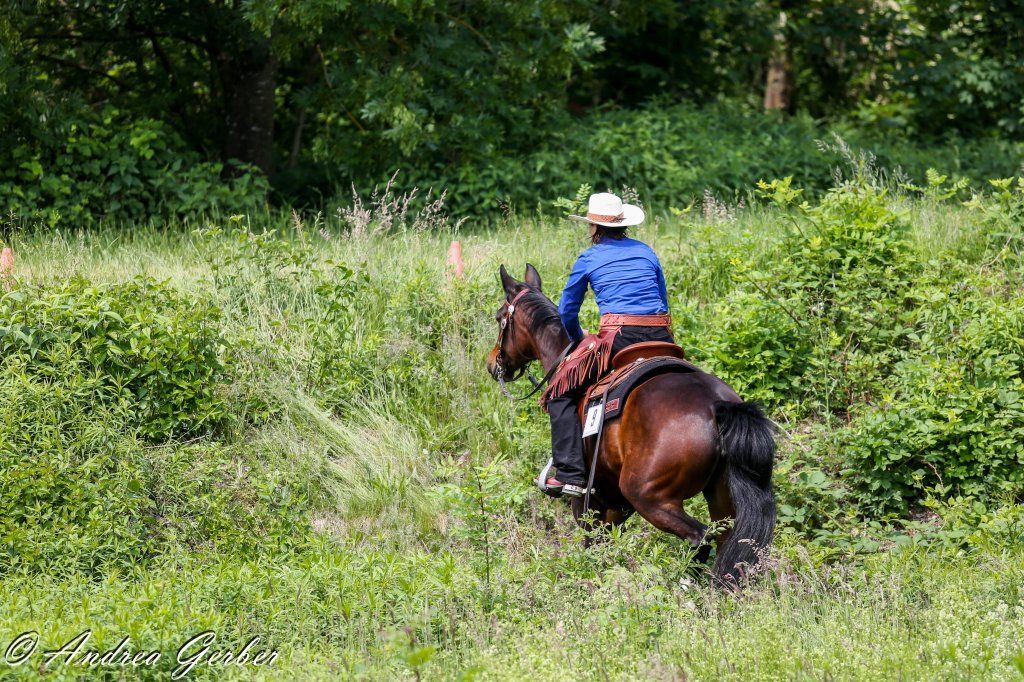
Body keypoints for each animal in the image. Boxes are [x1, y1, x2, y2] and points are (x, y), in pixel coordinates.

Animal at [485, 264, 777, 585]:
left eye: (500, 318)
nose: (492, 363)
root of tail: (715, 405)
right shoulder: (615, 504)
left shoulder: (589, 501)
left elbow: (593, 545)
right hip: (721, 497)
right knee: (728, 545)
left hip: (649, 496)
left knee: (700, 538)